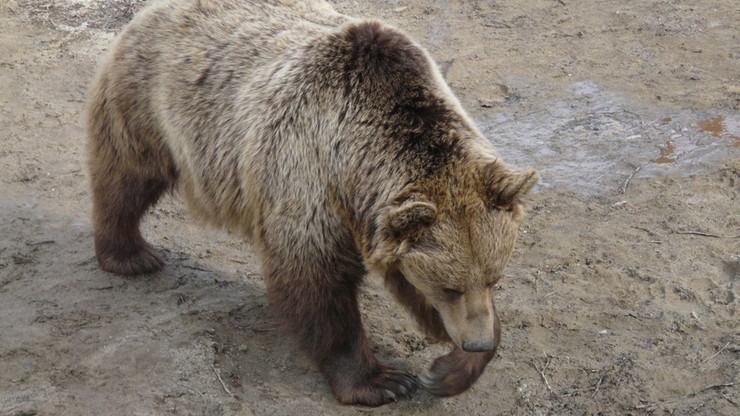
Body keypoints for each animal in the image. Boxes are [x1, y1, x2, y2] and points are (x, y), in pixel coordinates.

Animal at [86, 0, 536, 406]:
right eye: (450, 287)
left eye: (494, 278)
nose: (476, 343)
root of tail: (152, 10)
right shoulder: (307, 173)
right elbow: (315, 281)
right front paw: (380, 381)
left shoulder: (383, 224)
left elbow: (407, 279)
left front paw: (450, 369)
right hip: (152, 103)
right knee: (126, 175)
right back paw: (130, 254)